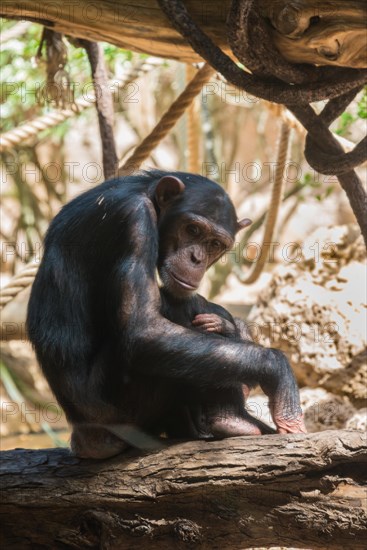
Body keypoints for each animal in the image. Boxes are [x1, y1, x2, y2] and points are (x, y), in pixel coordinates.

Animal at [27, 170, 306, 460]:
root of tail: (84, 440)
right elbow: (144, 330)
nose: (196, 258)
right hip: (120, 414)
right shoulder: (134, 220)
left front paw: (227, 328)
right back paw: (231, 420)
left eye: (215, 244)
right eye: (192, 230)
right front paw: (277, 371)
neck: (146, 194)